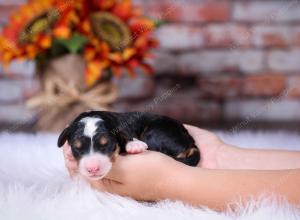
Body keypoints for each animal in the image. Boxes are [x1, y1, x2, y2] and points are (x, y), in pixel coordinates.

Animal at [57, 111, 200, 180]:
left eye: (107, 144)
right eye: (77, 147)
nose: (92, 168)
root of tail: (190, 141)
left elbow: (127, 136)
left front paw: (134, 145)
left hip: (156, 132)